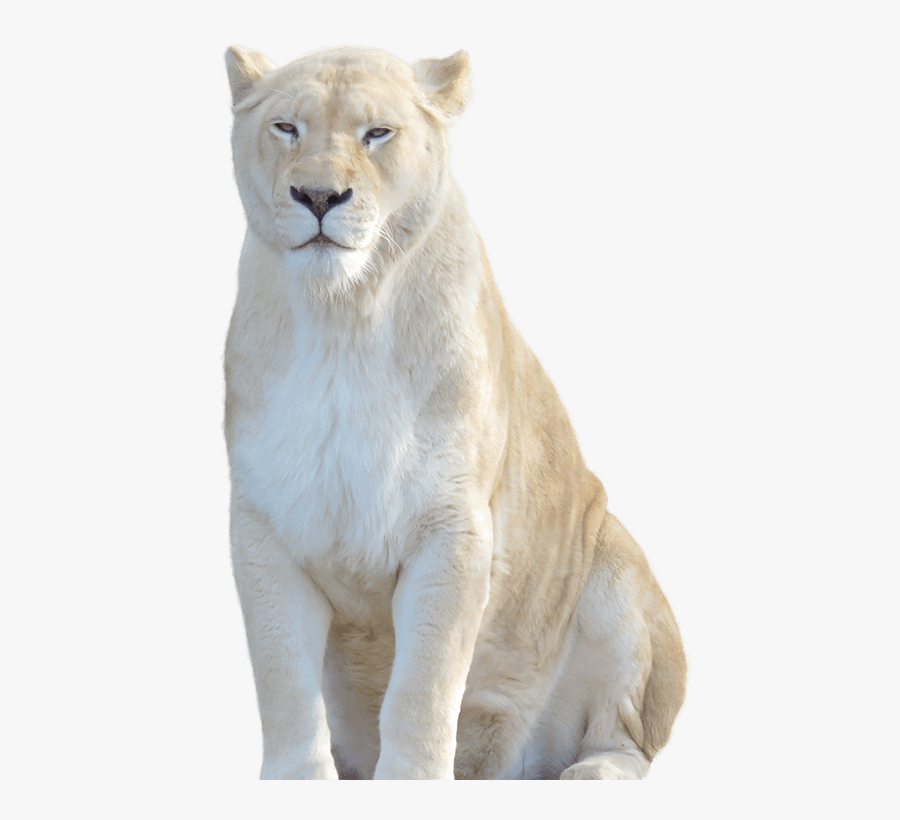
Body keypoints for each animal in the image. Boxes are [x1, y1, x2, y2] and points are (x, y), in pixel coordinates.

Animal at [224, 44, 686, 780]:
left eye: (377, 133)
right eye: (287, 128)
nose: (319, 197)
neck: (343, 318)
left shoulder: (454, 525)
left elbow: (424, 682)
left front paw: (410, 779)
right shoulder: (264, 523)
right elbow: (282, 676)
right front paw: (297, 780)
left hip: (614, 561)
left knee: (627, 737)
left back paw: (590, 772)